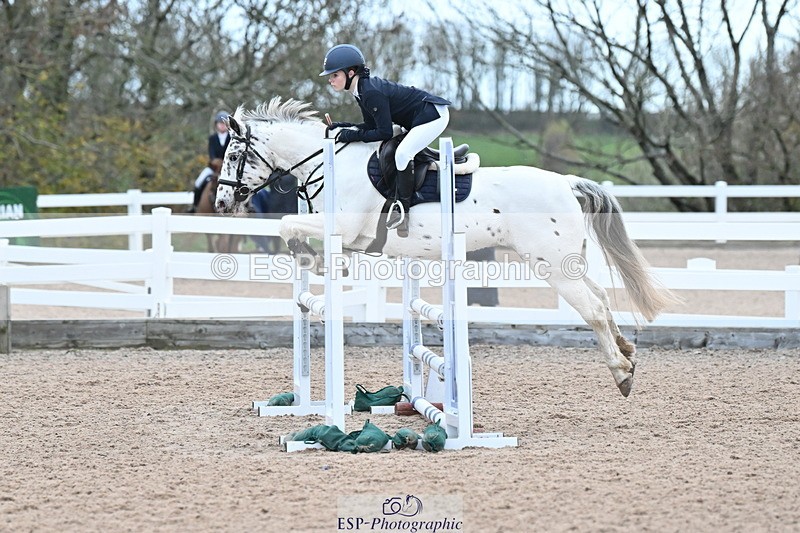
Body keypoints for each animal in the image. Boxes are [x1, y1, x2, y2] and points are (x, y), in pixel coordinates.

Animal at [214, 97, 680, 397]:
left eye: (234, 154)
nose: (220, 204)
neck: (329, 164)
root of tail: (565, 182)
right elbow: (293, 227)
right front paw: (317, 261)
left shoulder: (345, 228)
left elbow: (288, 225)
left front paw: (311, 257)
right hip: (568, 261)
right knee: (602, 298)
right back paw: (627, 353)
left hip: (552, 265)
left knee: (594, 308)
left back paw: (622, 374)